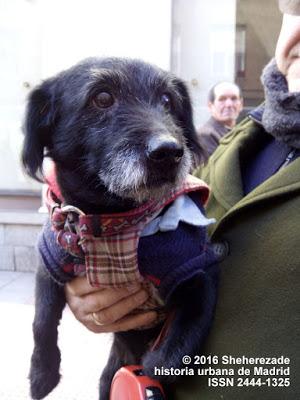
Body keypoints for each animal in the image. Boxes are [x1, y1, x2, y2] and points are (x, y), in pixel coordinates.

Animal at [21, 57, 218, 400]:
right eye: (102, 98)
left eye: (168, 101)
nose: (169, 152)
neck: (110, 219)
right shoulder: (49, 263)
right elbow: (41, 320)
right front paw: (41, 374)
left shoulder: (197, 270)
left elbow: (185, 333)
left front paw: (154, 364)